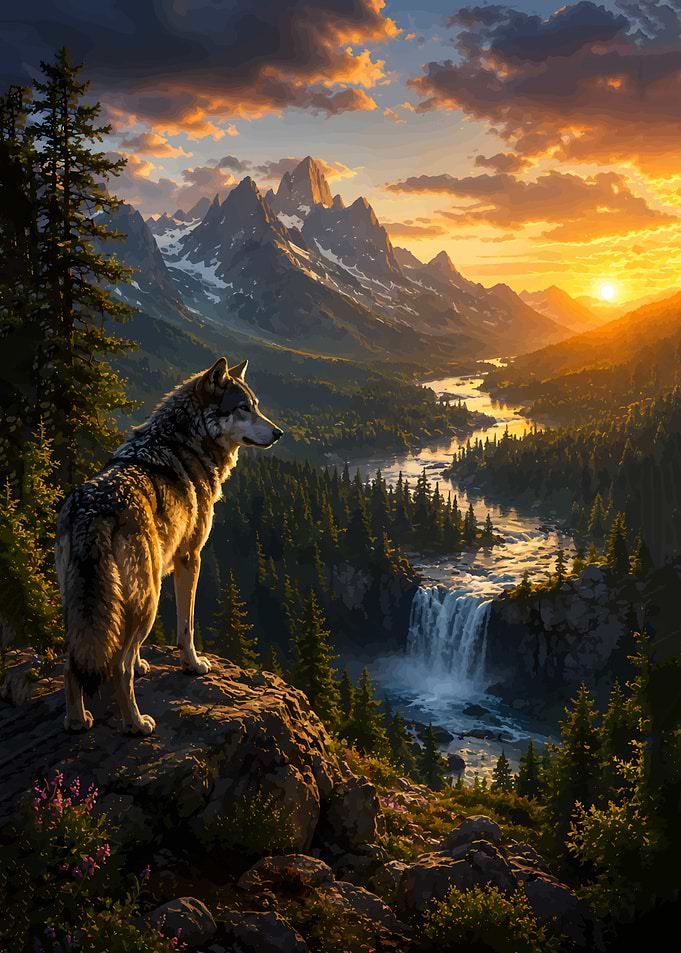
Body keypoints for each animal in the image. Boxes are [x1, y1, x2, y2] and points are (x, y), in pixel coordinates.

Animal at [55, 357, 282, 735]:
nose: (279, 433)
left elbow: (134, 650)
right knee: (117, 669)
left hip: (89, 605)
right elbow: (185, 627)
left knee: (73, 663)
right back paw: (136, 724)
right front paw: (193, 664)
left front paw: (143, 663)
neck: (187, 441)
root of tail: (94, 512)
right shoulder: (190, 558)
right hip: (149, 599)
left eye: (258, 406)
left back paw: (76, 721)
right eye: (243, 408)